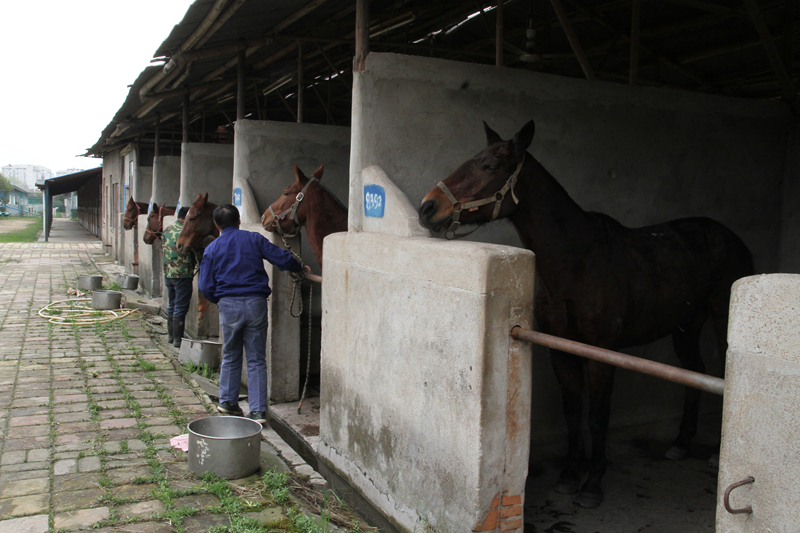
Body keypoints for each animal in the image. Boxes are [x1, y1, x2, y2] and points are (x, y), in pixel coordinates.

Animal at [416, 119, 752, 508]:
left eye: (490, 165)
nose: (427, 207)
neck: (577, 261)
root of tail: (733, 239)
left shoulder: (601, 354)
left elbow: (597, 416)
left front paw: (592, 483)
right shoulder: (561, 350)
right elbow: (573, 411)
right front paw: (568, 475)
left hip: (721, 319)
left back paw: (714, 454)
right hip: (685, 326)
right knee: (694, 371)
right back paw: (681, 444)